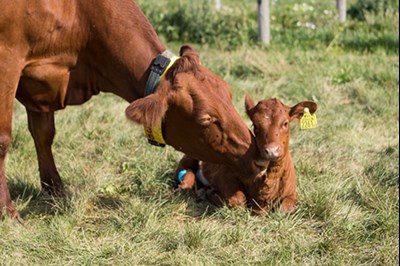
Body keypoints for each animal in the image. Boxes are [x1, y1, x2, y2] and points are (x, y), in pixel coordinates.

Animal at [0, 0, 256, 220]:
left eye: (229, 94)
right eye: (205, 118)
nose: (257, 155)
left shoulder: (40, 84)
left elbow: (44, 135)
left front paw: (55, 190)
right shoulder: (9, 60)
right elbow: (3, 140)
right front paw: (8, 211)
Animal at [177, 95, 318, 214]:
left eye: (285, 123)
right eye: (255, 125)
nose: (271, 150)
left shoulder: (291, 193)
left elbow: (284, 209)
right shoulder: (224, 174)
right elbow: (239, 201)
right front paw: (213, 195)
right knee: (186, 170)